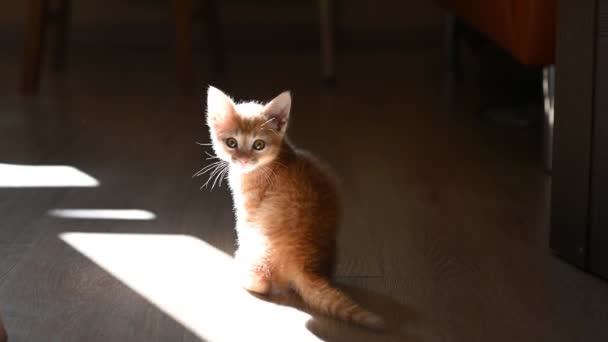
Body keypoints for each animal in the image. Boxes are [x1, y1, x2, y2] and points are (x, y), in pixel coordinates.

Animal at [204, 86, 384, 332]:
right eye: (231, 142)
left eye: (258, 145)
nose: (243, 160)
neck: (277, 158)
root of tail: (306, 266)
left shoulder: (248, 213)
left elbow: (242, 234)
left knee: (260, 283)